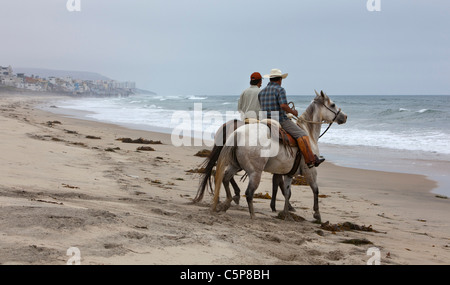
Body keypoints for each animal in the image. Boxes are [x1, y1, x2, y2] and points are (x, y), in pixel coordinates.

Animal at [212, 90, 348, 220]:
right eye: (333, 104)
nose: (345, 116)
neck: (308, 133)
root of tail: (237, 133)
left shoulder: (289, 173)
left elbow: (287, 193)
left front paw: (286, 214)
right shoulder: (310, 170)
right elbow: (315, 189)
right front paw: (317, 214)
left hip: (235, 165)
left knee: (225, 179)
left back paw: (227, 203)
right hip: (255, 172)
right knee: (249, 193)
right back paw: (252, 215)